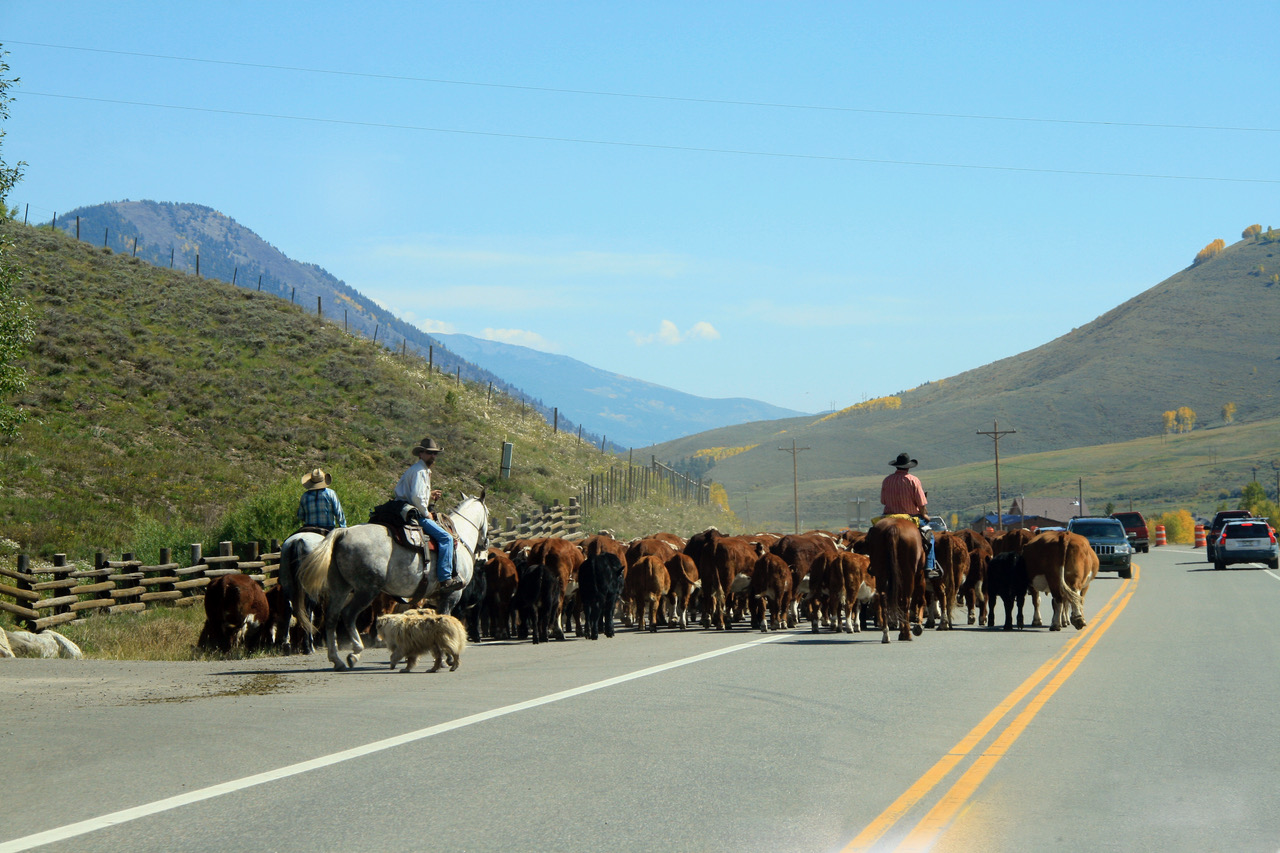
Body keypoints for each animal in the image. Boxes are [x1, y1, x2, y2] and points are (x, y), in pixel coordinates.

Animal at [294, 491, 488, 671]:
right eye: (488, 513)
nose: (485, 545)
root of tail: (344, 533)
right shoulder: (451, 594)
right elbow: (446, 619)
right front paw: (447, 658)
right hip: (366, 590)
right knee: (348, 615)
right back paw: (354, 653)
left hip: (340, 588)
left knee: (331, 618)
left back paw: (337, 660)